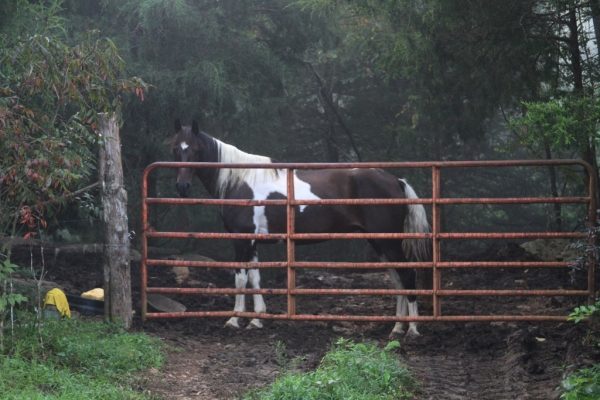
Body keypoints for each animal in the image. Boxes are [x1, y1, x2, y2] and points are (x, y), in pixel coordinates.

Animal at [171, 119, 428, 338]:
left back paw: (413, 330)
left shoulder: (241, 239)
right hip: (379, 241)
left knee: (408, 275)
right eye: (175, 149)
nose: (182, 187)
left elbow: (240, 278)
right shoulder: (253, 241)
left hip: (388, 242)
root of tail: (395, 181)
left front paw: (234, 320)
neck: (240, 181)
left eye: (195, 149)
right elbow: (255, 277)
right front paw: (257, 319)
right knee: (397, 280)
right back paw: (397, 328)